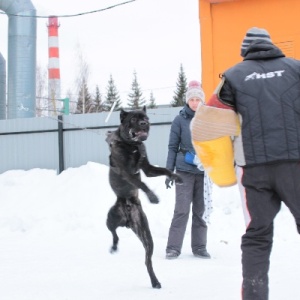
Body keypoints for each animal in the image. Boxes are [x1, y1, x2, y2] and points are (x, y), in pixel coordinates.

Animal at [104, 107, 182, 288]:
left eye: (145, 117)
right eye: (133, 119)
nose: (144, 123)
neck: (131, 145)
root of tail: (126, 220)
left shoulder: (147, 168)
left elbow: (165, 170)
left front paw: (176, 177)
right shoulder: (127, 172)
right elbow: (142, 184)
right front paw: (153, 197)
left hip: (146, 235)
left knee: (147, 261)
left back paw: (155, 281)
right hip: (109, 219)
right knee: (114, 235)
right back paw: (114, 247)